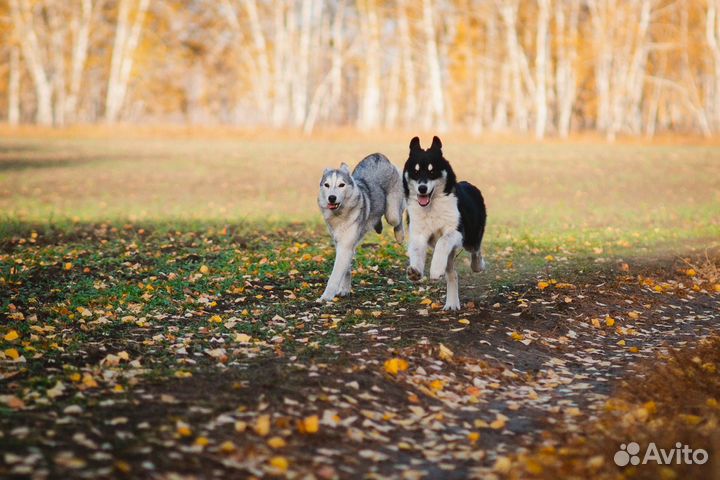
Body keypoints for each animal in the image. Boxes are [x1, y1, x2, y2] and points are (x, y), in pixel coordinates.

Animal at [316, 154, 404, 302]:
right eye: (327, 185)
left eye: (341, 185)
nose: (331, 198)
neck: (340, 215)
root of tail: (378, 155)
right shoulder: (341, 244)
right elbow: (346, 269)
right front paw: (344, 290)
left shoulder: (345, 246)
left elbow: (334, 276)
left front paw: (326, 297)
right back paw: (378, 226)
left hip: (393, 214)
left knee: (400, 214)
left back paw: (400, 235)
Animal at [402, 137, 486, 310]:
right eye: (416, 171)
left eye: (432, 171)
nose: (422, 188)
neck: (432, 206)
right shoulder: (418, 234)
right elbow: (416, 250)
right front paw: (415, 271)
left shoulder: (457, 232)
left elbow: (442, 241)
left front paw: (435, 270)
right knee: (452, 273)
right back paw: (452, 303)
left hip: (471, 239)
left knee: (476, 252)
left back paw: (478, 265)